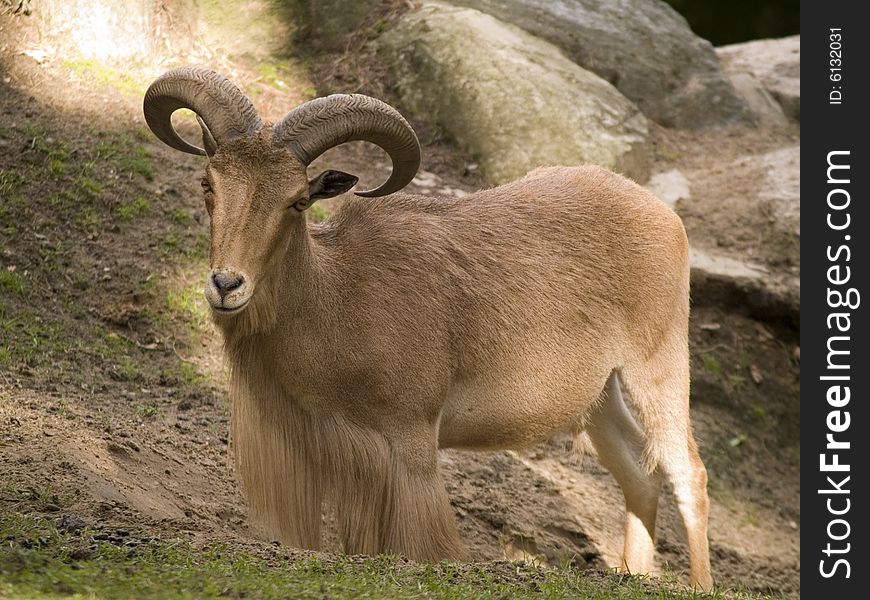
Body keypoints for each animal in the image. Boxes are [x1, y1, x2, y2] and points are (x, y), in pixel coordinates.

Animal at [143, 67, 716, 592]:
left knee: (687, 473)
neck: (338, 297)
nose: (226, 285)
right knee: (639, 473)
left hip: (657, 365)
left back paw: (700, 584)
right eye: (209, 185)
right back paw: (633, 576)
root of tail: (664, 216)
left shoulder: (410, 437)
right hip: (599, 397)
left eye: (298, 200)